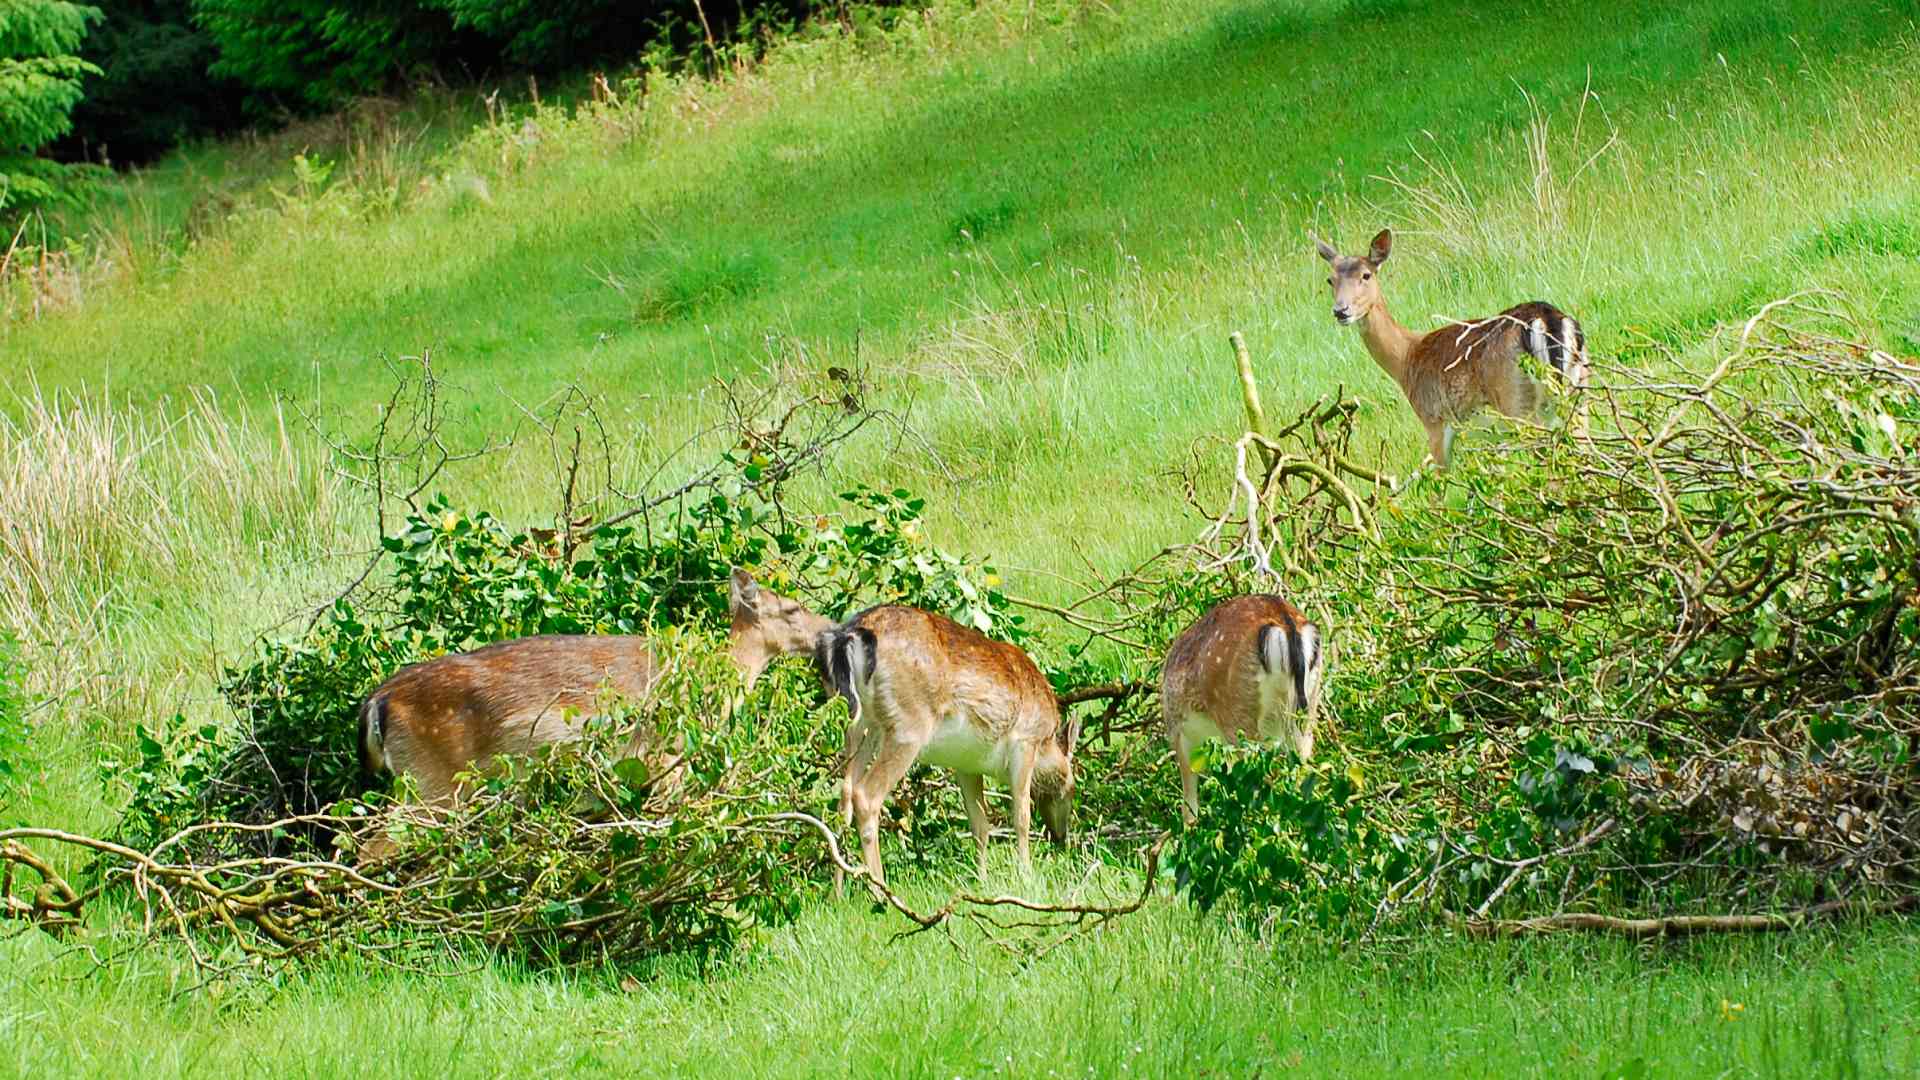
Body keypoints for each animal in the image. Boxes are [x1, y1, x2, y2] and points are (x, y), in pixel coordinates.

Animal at [727, 569, 1075, 887]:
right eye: (1071, 786)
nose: (1061, 836)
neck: (1046, 740)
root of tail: (850, 636)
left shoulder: (966, 762)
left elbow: (980, 824)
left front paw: (983, 881)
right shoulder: (1024, 740)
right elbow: (1021, 816)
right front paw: (1026, 879)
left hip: (860, 722)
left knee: (845, 793)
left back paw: (839, 892)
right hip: (909, 727)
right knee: (866, 796)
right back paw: (881, 891)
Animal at [1314, 228, 1589, 468]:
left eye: (1366, 275)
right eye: (1330, 279)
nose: (1341, 311)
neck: (1407, 358)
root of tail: (1549, 319)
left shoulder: (1434, 421)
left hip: (1516, 402)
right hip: (1579, 396)